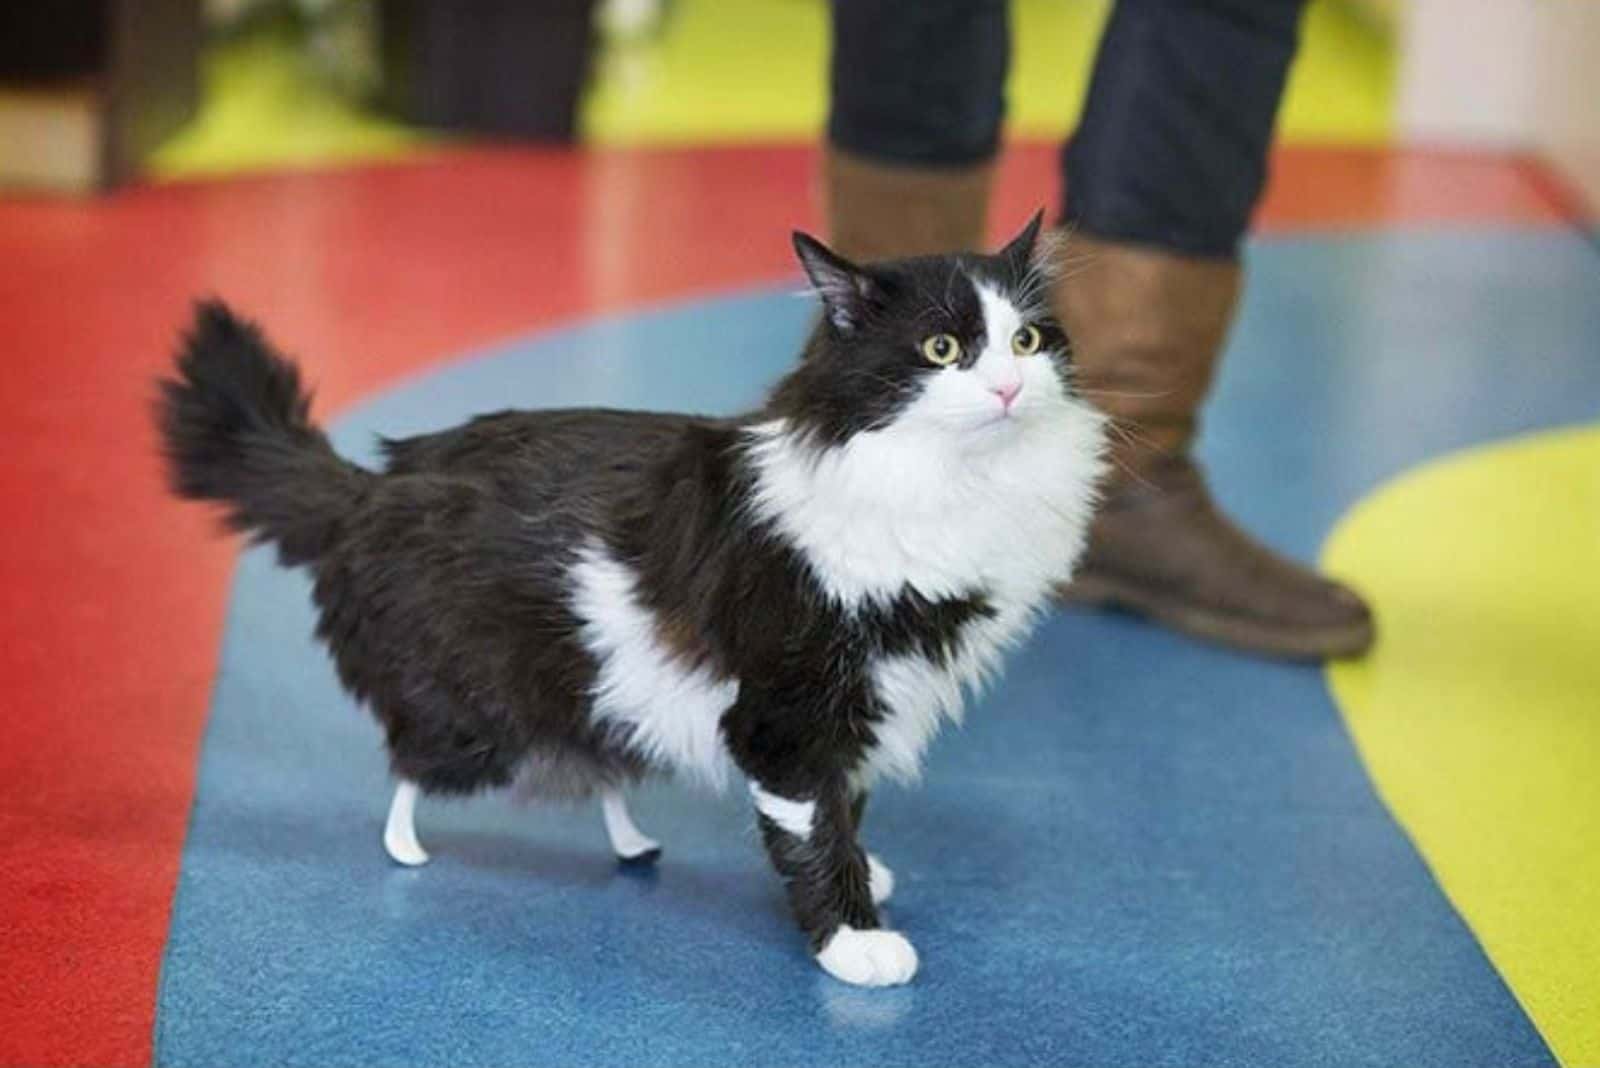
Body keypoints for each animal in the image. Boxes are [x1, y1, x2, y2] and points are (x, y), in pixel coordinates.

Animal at [162, 212, 1107, 991]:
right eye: (942, 350)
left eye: (1027, 340)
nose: (1009, 388)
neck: (949, 485)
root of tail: (367, 487)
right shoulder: (786, 715)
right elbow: (814, 830)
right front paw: (856, 942)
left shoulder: (869, 700)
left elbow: (849, 804)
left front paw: (867, 876)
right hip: (476, 722)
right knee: (406, 772)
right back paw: (409, 849)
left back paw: (632, 844)